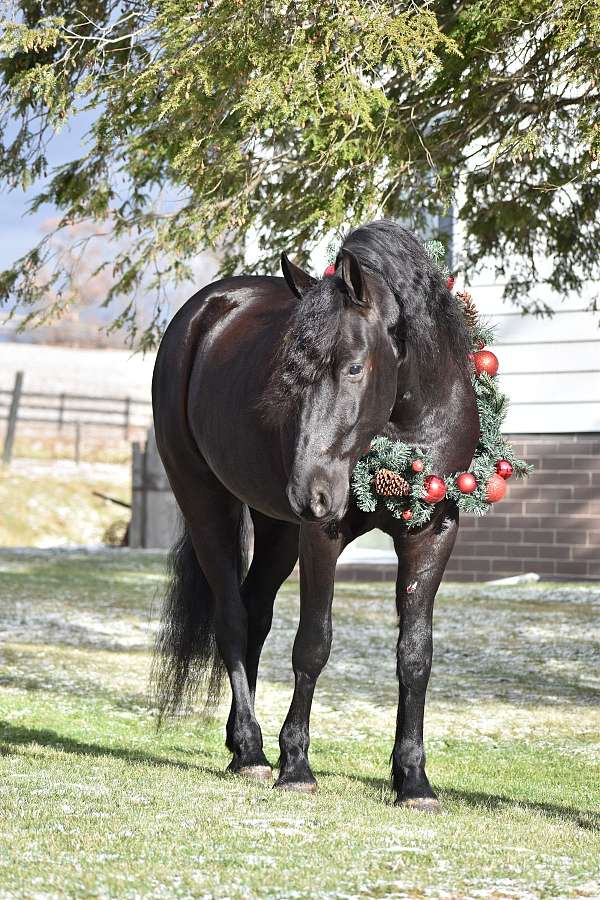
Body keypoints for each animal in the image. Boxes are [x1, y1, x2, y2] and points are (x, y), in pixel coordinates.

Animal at [152, 218, 480, 808]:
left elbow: (415, 653)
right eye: (291, 372)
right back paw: (254, 752)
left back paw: (240, 744)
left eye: (352, 367)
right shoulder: (321, 536)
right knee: (232, 619)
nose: (309, 492)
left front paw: (413, 778)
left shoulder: (433, 531)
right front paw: (297, 764)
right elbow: (313, 644)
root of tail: (202, 311)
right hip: (209, 502)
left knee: (255, 614)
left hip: (277, 530)